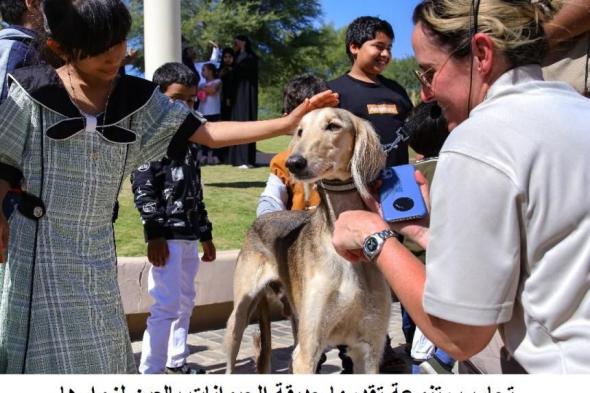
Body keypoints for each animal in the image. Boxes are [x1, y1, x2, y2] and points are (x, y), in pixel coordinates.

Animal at [224, 108, 390, 374]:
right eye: (300, 130)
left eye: (333, 126)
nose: (294, 162)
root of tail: (262, 218)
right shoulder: (307, 352)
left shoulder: (370, 351)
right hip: (239, 318)